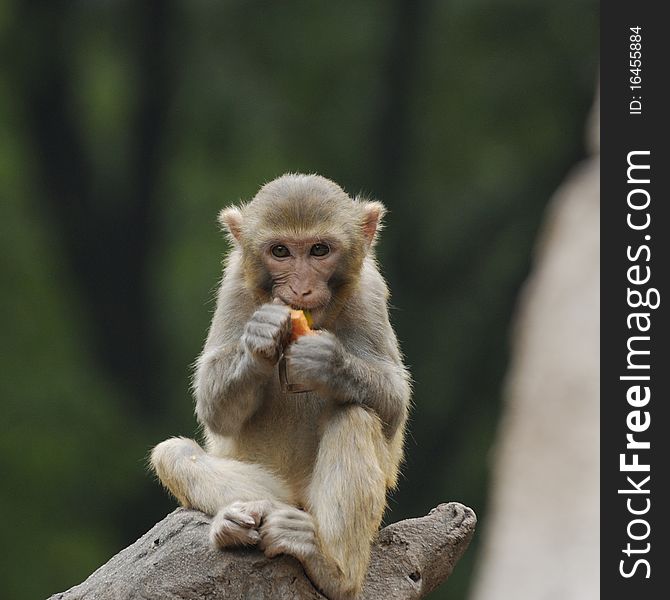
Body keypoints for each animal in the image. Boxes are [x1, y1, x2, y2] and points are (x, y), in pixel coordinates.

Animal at [152, 173, 412, 600]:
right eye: (280, 251)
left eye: (319, 250)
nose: (302, 289)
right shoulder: (234, 286)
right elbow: (212, 408)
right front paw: (261, 338)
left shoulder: (369, 292)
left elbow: (393, 403)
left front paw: (329, 363)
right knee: (173, 454)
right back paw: (241, 519)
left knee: (355, 415)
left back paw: (331, 569)